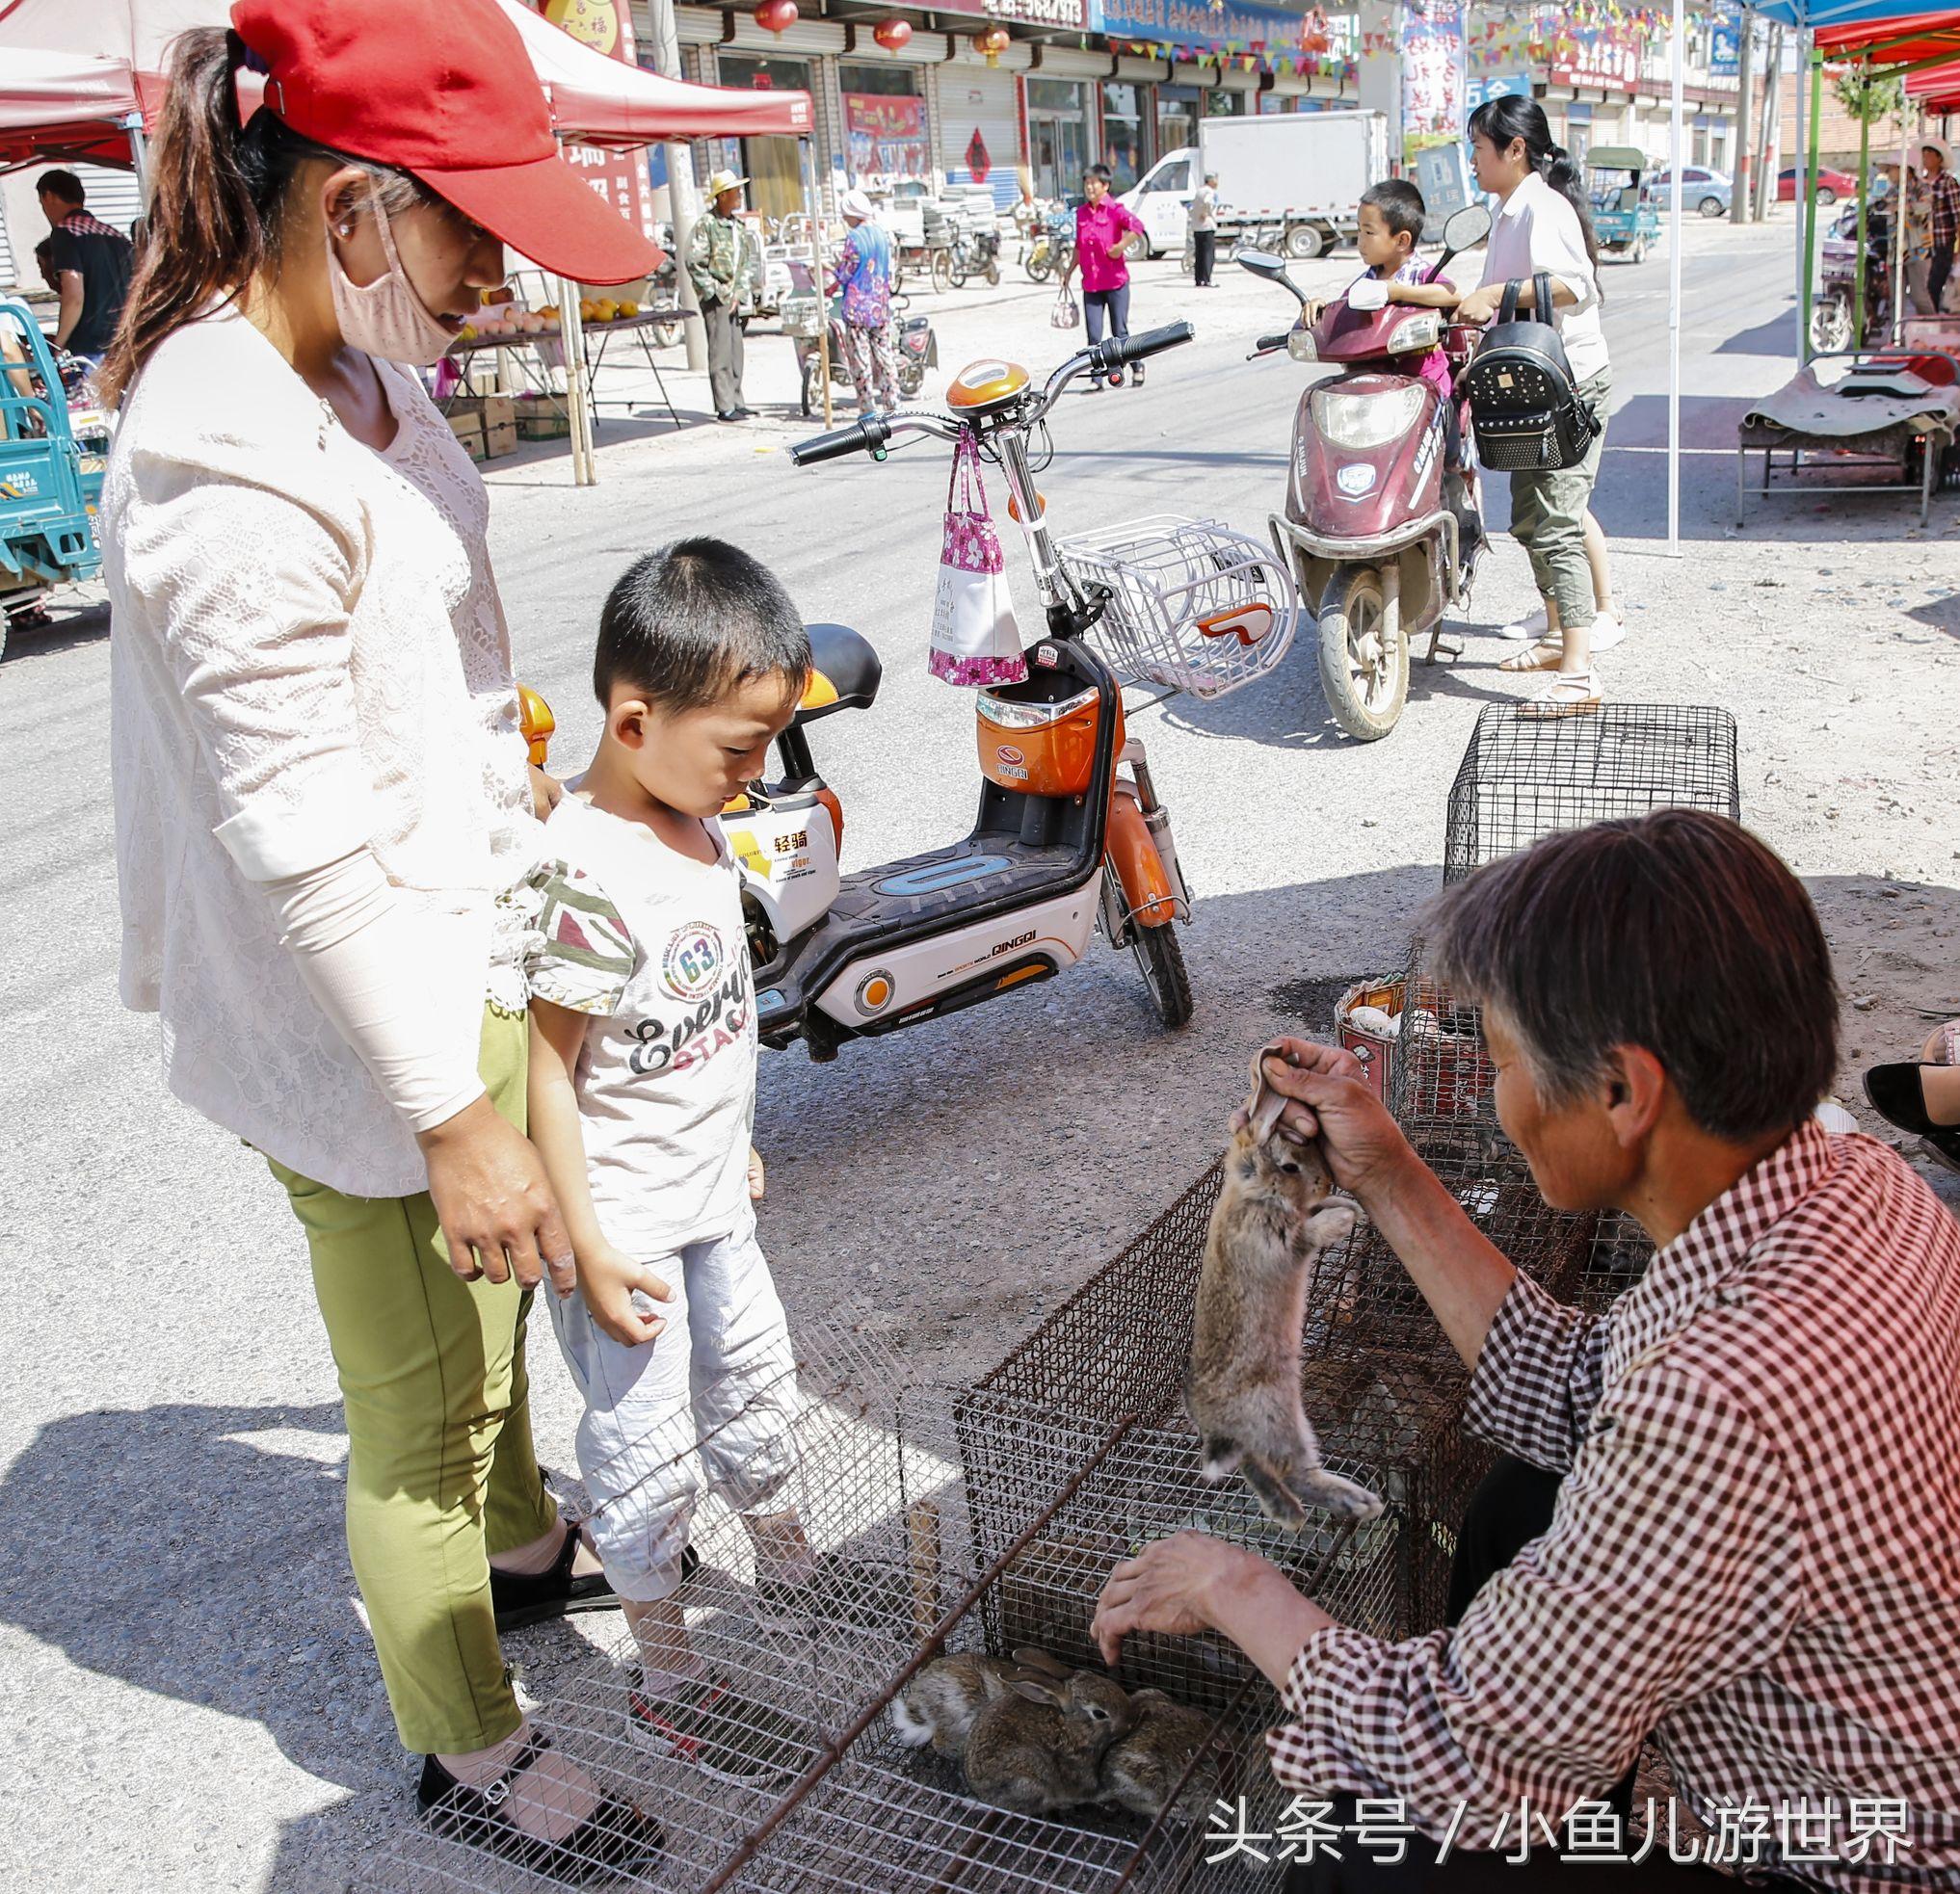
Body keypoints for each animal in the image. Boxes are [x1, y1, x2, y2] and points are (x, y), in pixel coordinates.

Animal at [960, 1669, 1136, 1817]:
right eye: (1099, 1714)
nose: (1129, 1723)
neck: (1070, 1724)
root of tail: (983, 1795)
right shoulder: (1078, 1768)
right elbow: (1088, 1792)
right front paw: (1108, 1796)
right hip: (1031, 1776)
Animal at [1183, 1041, 1388, 1535]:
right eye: (1291, 1165)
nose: (1325, 1181)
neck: (1253, 1192)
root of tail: (1214, 1427)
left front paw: (1346, 1206)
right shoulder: (1275, 1241)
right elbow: (1306, 1234)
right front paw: (1342, 1217)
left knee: (1258, 1468)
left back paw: (1288, 1514)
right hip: (1275, 1418)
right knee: (1289, 1469)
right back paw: (1356, 1504)